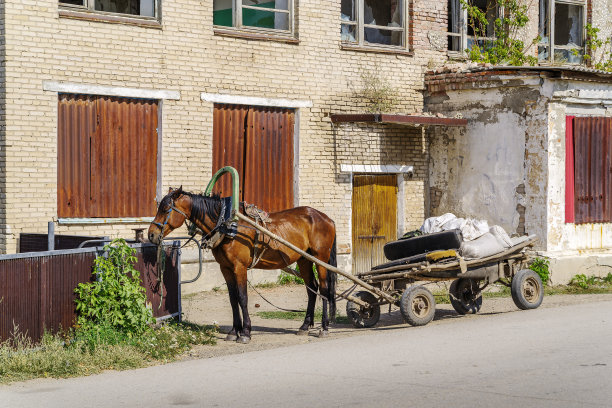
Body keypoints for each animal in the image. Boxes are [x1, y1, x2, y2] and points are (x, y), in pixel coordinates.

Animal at [149, 186, 340, 342]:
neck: (227, 226)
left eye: (165, 209)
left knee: (324, 289)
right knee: (311, 289)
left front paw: (246, 332)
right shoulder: (225, 268)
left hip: (321, 258)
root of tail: (327, 218)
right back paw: (305, 326)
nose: (151, 234)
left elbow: (242, 297)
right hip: (305, 259)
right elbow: (233, 299)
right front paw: (234, 331)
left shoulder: (239, 267)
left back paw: (324, 327)